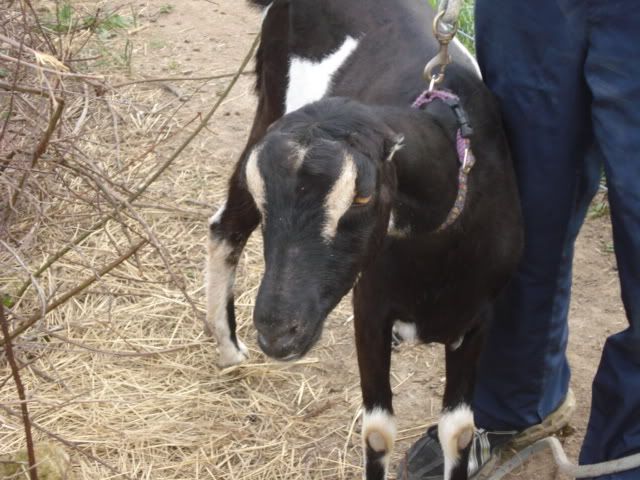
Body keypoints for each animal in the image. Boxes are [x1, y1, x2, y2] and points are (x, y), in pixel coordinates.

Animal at [205, 1, 523, 479]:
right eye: (266, 198)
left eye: (362, 195)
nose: (278, 332)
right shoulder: (369, 307)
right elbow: (378, 434)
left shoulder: (478, 316)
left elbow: (459, 433)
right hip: (269, 102)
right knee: (225, 227)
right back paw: (230, 352)